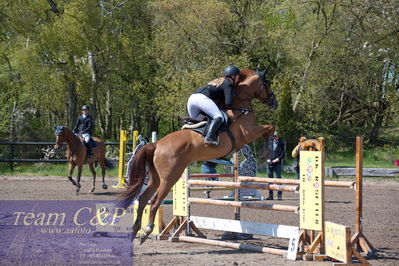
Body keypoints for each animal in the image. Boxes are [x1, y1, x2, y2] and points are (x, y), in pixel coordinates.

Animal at [120, 68, 280, 243]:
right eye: (267, 84)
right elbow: (269, 127)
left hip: (156, 178)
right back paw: (147, 230)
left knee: (143, 199)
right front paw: (267, 151)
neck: (240, 107)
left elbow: (268, 128)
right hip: (169, 178)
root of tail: (157, 144)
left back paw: (136, 230)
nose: (275, 103)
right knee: (154, 202)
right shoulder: (248, 133)